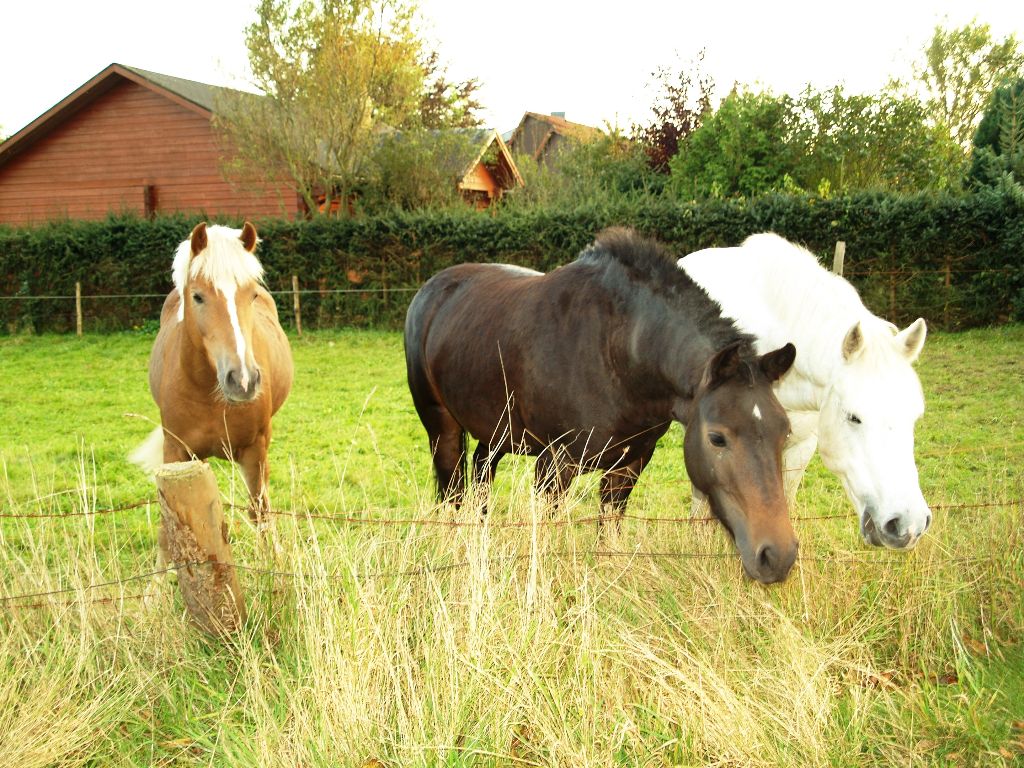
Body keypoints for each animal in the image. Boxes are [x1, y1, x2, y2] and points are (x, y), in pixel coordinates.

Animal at [131, 222, 292, 524]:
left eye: (252, 295)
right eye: (197, 296)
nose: (243, 380)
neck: (210, 397)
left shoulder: (255, 452)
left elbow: (259, 512)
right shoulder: (177, 452)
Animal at [405, 227, 798, 581]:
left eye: (785, 433)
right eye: (717, 438)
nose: (777, 555)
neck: (617, 350)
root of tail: (430, 289)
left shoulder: (630, 464)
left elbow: (608, 533)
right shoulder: (554, 466)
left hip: (496, 431)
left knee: (481, 477)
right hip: (442, 427)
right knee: (452, 490)